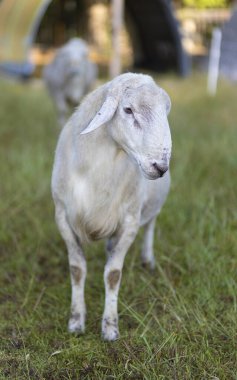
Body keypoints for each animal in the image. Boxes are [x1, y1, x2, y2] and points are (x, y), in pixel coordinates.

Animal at [51, 72, 172, 340]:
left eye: (165, 111)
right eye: (128, 109)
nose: (160, 166)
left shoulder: (130, 223)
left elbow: (113, 274)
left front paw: (110, 327)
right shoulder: (62, 217)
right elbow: (77, 269)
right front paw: (76, 321)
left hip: (152, 206)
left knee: (151, 225)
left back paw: (148, 259)